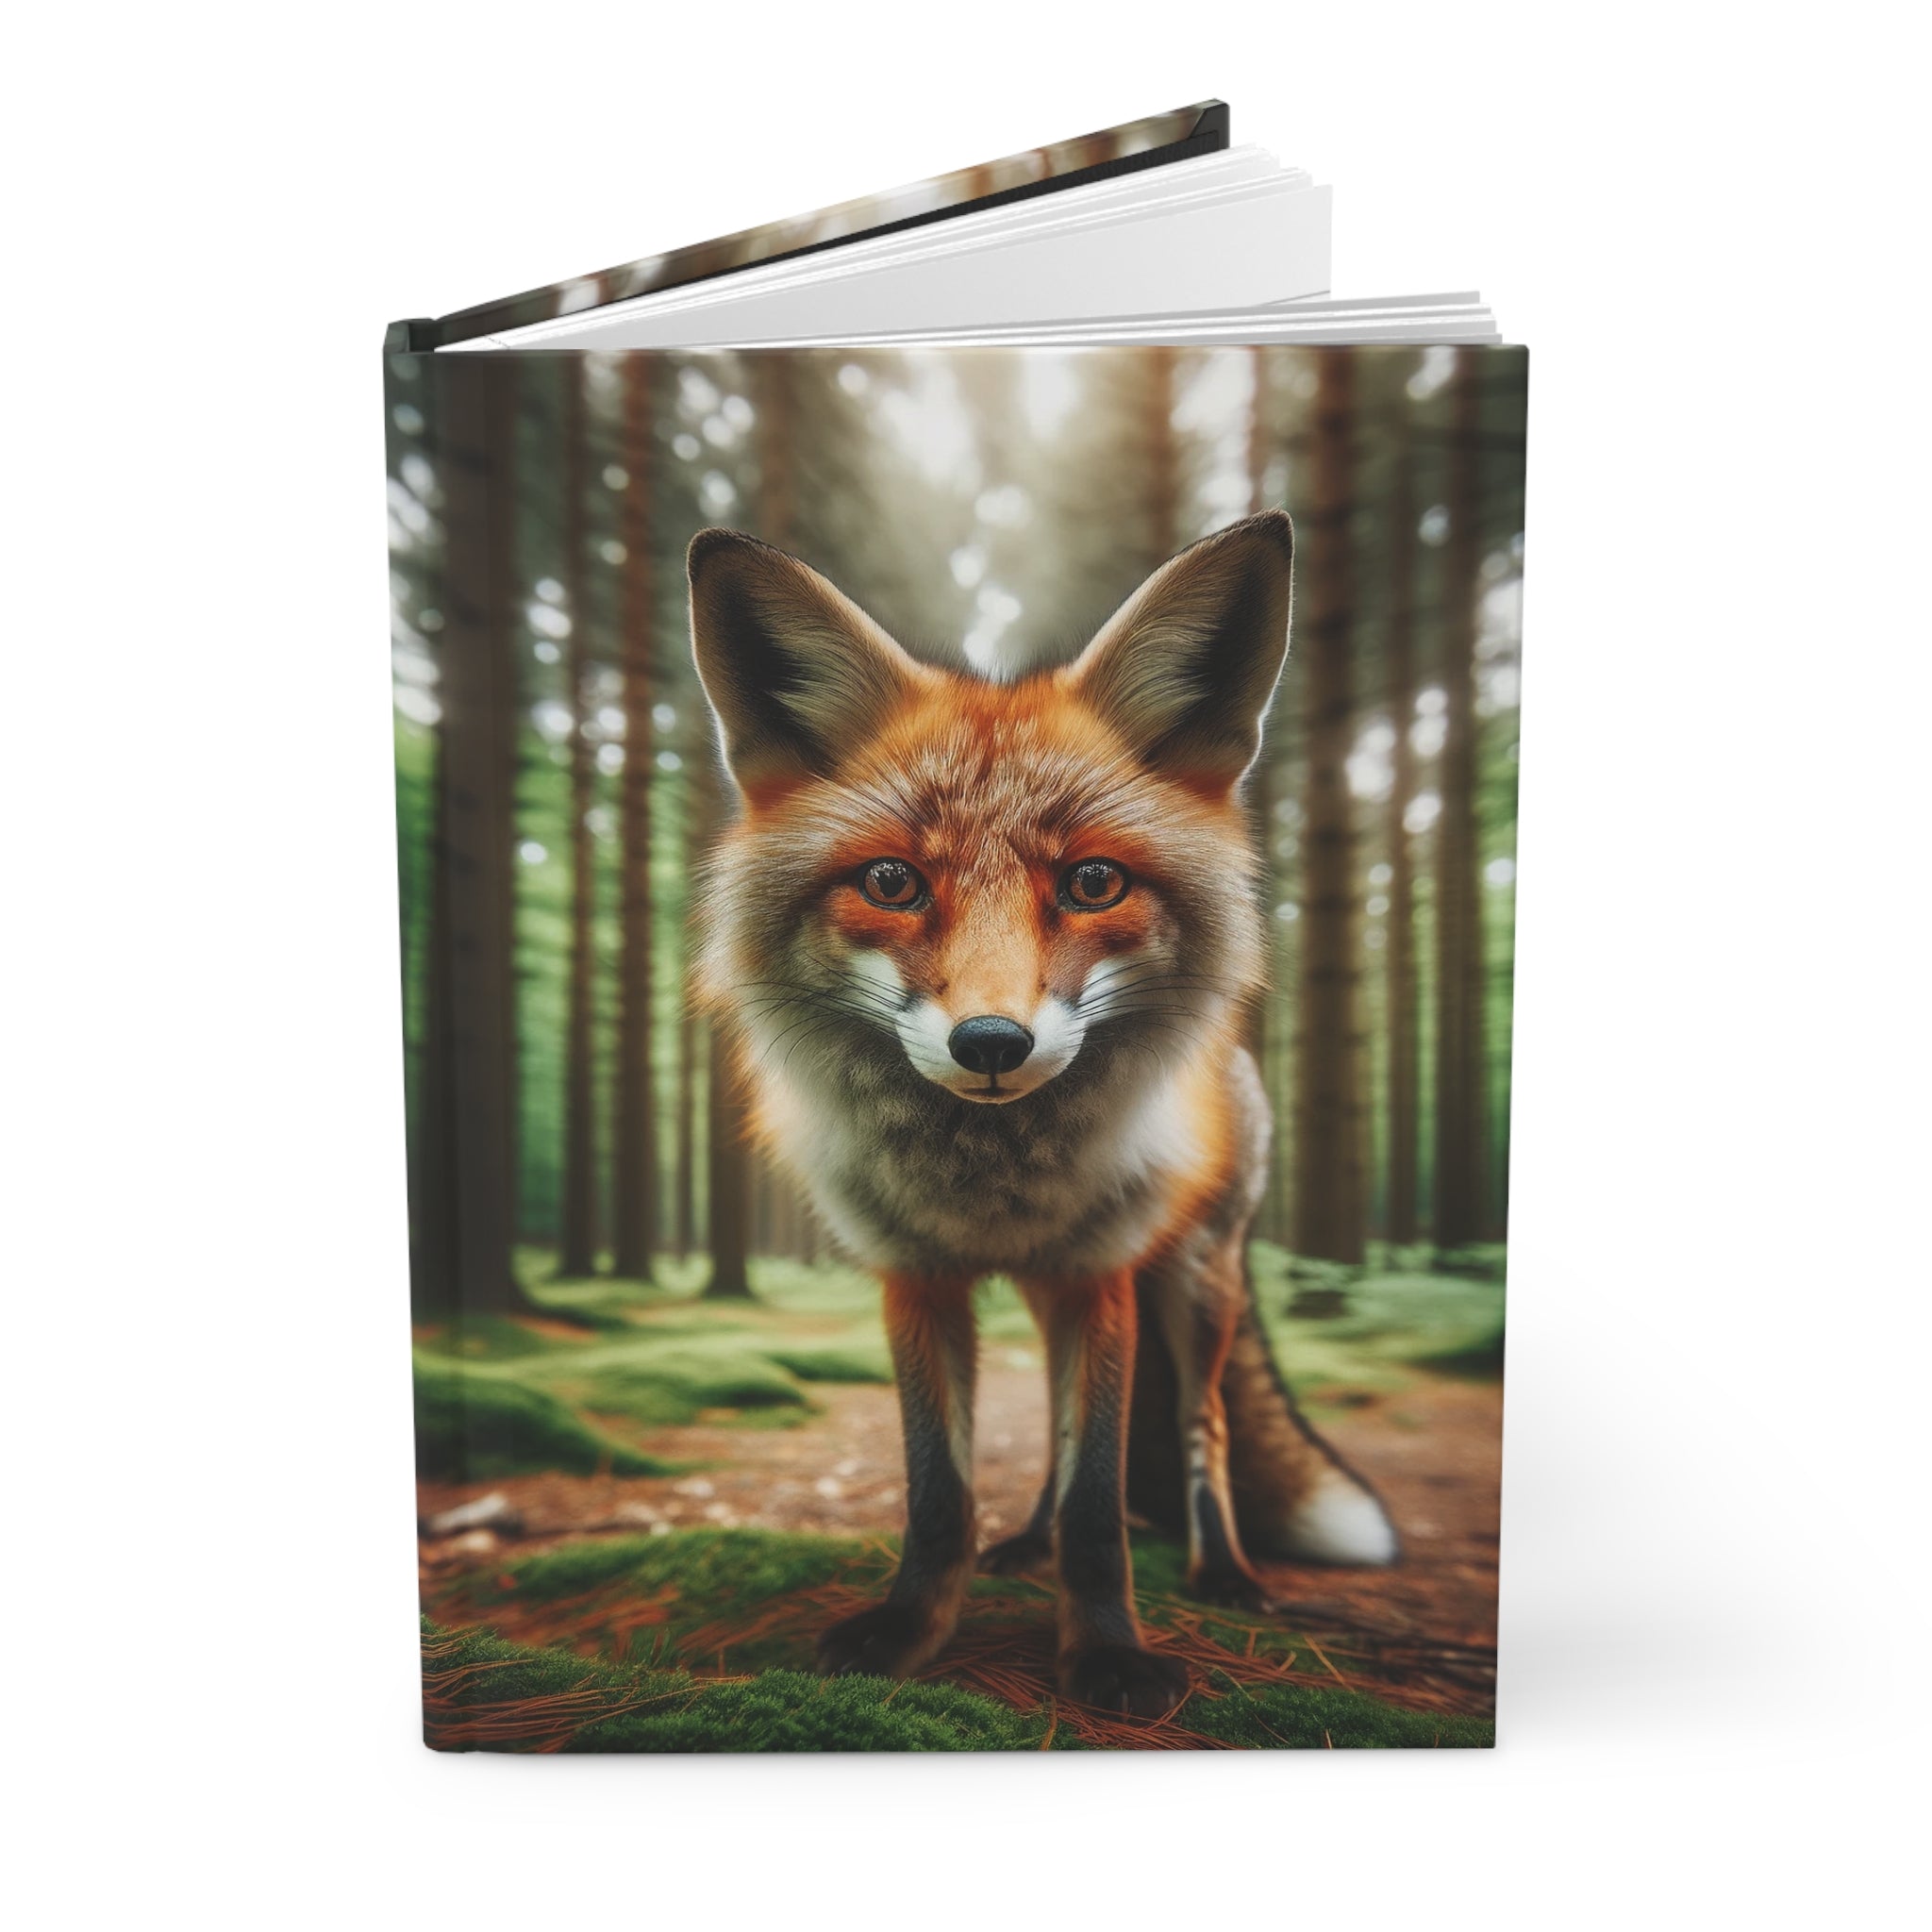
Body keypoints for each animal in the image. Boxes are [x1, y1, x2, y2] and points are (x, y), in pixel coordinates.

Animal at [687, 509, 1396, 1717]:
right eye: (891, 882)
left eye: (1091, 884)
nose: (989, 1043)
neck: (990, 1185)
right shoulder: (919, 1276)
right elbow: (943, 1490)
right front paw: (909, 1630)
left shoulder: (1094, 1272)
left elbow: (1097, 1500)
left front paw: (1105, 1650)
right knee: (1050, 1463)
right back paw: (1020, 1546)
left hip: (1194, 1278)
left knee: (1199, 1424)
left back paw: (1223, 1569)